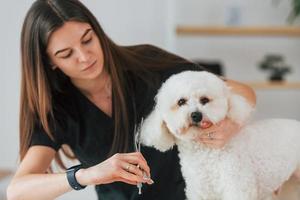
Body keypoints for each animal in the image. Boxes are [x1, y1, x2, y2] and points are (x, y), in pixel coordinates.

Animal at [140, 71, 300, 200]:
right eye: (181, 102)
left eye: (204, 100)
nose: (196, 115)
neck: (205, 155)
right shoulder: (200, 192)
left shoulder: (238, 188)